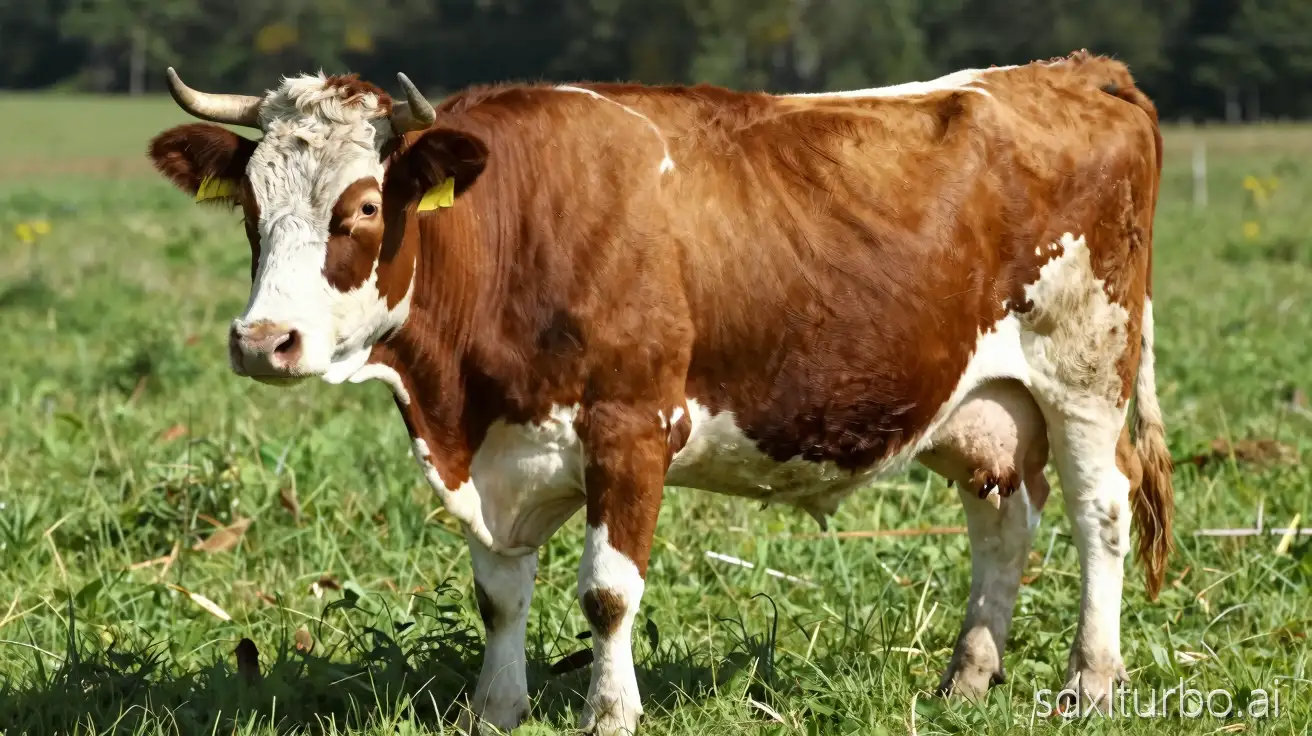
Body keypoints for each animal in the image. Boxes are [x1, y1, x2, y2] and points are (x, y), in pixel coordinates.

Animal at [147, 50, 1174, 734]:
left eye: (361, 207)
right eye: (249, 207)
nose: (263, 342)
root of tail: (1081, 71)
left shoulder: (633, 428)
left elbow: (607, 593)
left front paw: (609, 713)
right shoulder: (500, 450)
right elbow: (498, 594)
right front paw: (496, 709)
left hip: (1084, 371)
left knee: (1101, 511)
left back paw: (1091, 683)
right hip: (986, 401)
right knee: (1003, 522)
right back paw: (967, 679)